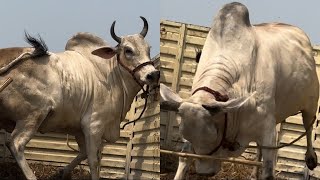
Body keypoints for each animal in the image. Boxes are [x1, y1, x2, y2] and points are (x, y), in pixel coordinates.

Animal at [0, 16, 159, 180]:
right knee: (15, 143)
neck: (113, 77)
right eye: (128, 50)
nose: (153, 74)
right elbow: (93, 160)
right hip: (33, 116)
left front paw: (62, 172)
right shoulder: (93, 126)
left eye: (148, 49)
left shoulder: (79, 129)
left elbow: (82, 153)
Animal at [161, 2, 318, 179]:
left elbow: (268, 171)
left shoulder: (268, 130)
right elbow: (184, 157)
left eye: (214, 136)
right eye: (188, 137)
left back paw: (311, 158)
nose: (205, 172)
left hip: (311, 102)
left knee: (308, 127)